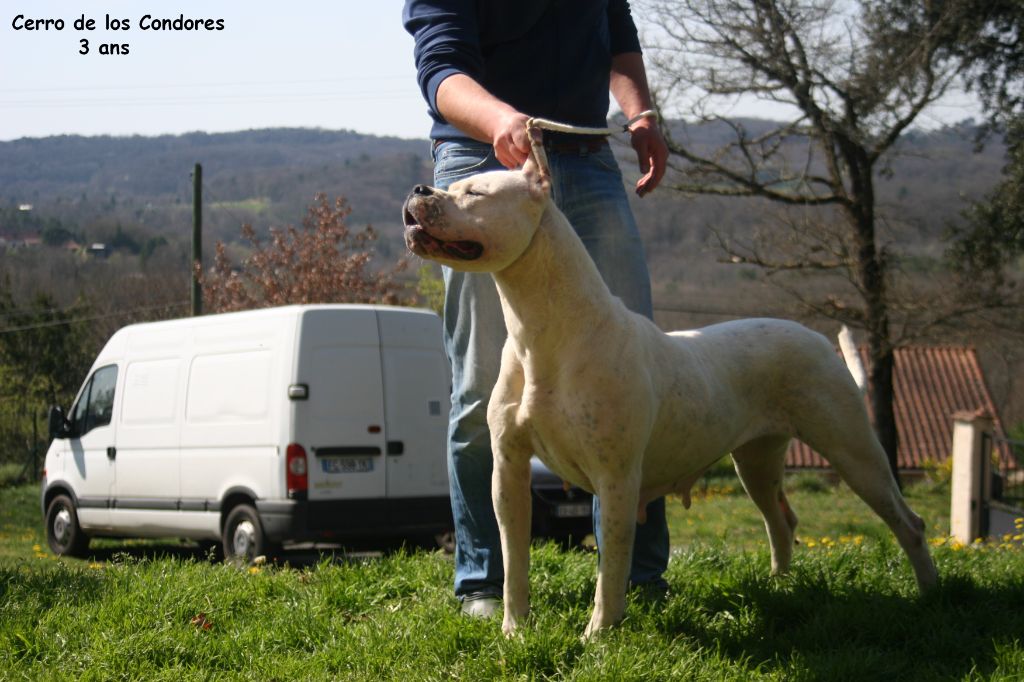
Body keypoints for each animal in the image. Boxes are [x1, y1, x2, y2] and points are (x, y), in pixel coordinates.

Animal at [399, 150, 937, 638]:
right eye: (453, 184)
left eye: (475, 193)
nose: (419, 190)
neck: (544, 331)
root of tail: (818, 340)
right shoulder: (509, 472)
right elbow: (514, 561)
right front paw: (513, 630)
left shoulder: (616, 477)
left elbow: (612, 568)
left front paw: (598, 637)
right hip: (757, 463)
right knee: (781, 521)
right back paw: (781, 588)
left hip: (852, 450)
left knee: (908, 522)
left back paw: (930, 597)